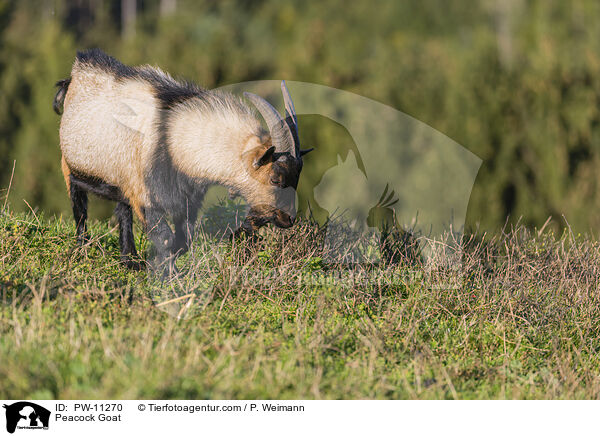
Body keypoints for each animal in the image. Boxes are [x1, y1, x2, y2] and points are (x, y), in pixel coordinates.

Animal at [54, 49, 312, 270]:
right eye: (276, 178)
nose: (289, 219)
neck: (174, 140)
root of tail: (73, 76)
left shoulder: (188, 199)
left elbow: (183, 241)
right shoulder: (146, 197)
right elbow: (166, 239)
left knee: (122, 210)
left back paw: (130, 261)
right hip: (71, 165)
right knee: (79, 201)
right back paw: (83, 248)